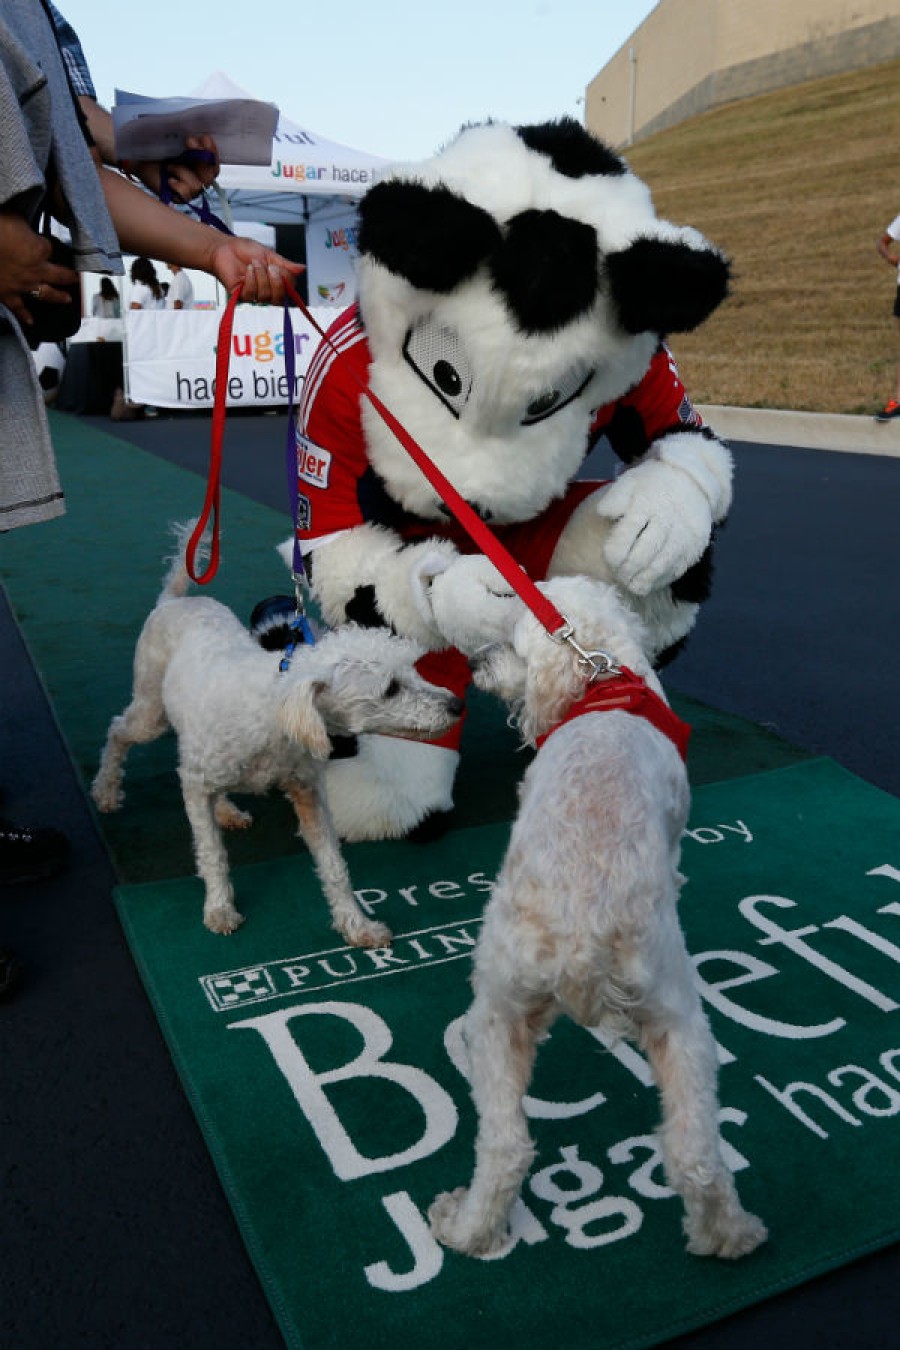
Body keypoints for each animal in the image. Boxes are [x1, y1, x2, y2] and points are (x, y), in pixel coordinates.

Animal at [92, 521, 464, 945]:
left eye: (414, 670)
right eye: (390, 688)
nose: (457, 705)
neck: (275, 712)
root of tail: (172, 600)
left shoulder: (308, 794)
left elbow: (334, 866)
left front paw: (357, 926)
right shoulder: (196, 785)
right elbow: (211, 854)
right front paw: (219, 909)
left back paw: (226, 810)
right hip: (150, 713)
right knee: (118, 731)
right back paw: (106, 792)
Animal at [426, 558, 766, 1252]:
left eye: (515, 640)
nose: (476, 666)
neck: (603, 684)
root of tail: (582, 934)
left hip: (495, 1015)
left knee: (510, 1147)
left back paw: (468, 1230)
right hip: (679, 1020)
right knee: (693, 1154)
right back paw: (731, 1237)